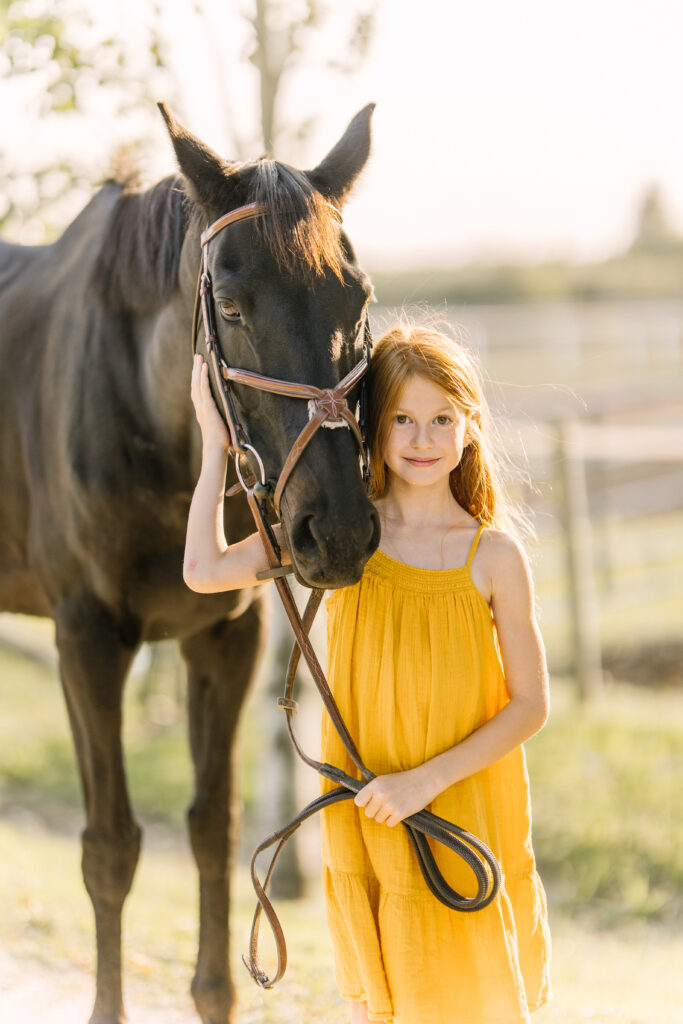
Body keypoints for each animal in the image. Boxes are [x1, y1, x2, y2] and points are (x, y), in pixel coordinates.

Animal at [0, 103, 378, 1024]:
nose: (337, 530)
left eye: (355, 297)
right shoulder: (88, 640)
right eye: (232, 307)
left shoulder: (225, 640)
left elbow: (214, 828)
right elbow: (110, 846)